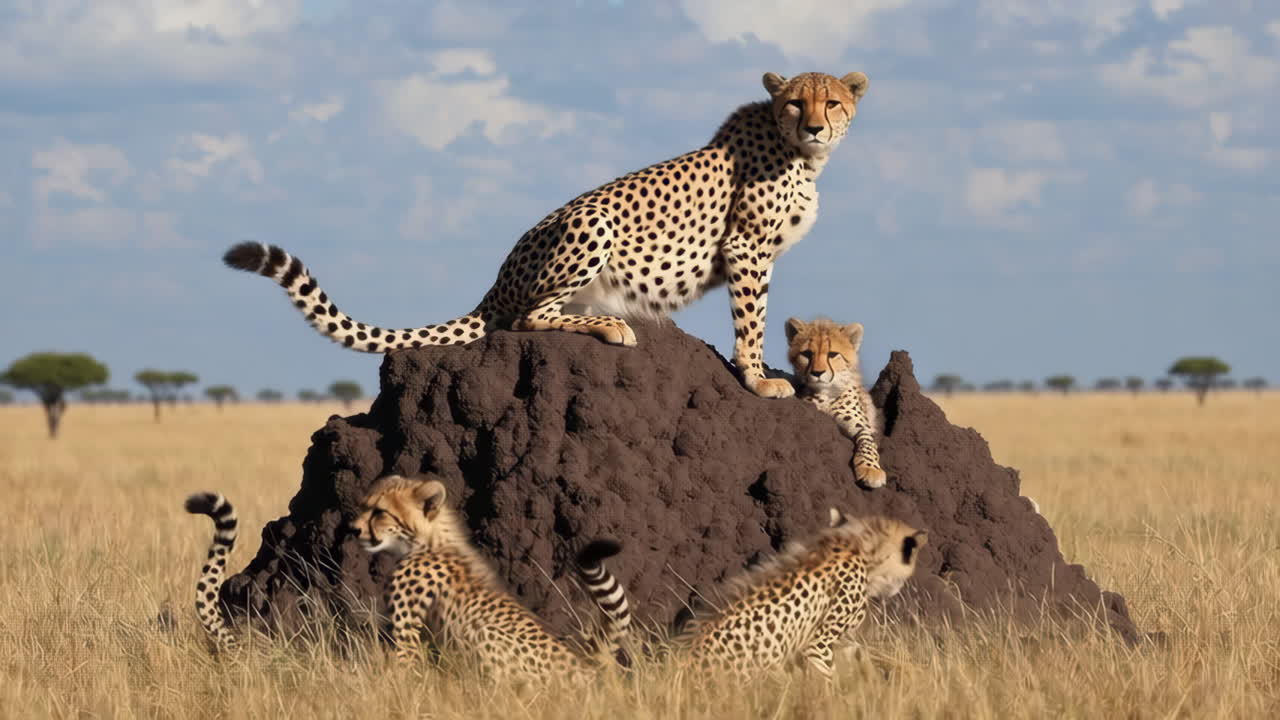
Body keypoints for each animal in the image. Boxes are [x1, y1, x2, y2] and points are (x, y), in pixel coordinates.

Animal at [222, 70, 870, 398]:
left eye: (832, 102)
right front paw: (759, 379)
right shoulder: (745, 247)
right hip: (591, 222)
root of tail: (495, 283)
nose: (815, 126)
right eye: (795, 103)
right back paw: (611, 325)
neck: (802, 156)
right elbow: (751, 318)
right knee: (526, 317)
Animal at [352, 474, 633, 682]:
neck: (427, 541)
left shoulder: (406, 629)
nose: (353, 529)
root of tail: (579, 661)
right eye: (364, 506)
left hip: (483, 633)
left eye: (379, 512)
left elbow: (405, 667)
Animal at [676, 509, 926, 681]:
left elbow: (859, 654)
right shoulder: (818, 644)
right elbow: (829, 679)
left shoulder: (839, 641)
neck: (862, 547)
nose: (898, 589)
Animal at [786, 316, 887, 488]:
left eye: (832, 354)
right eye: (807, 354)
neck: (825, 394)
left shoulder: (863, 427)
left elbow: (868, 443)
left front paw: (871, 469)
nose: (817, 373)